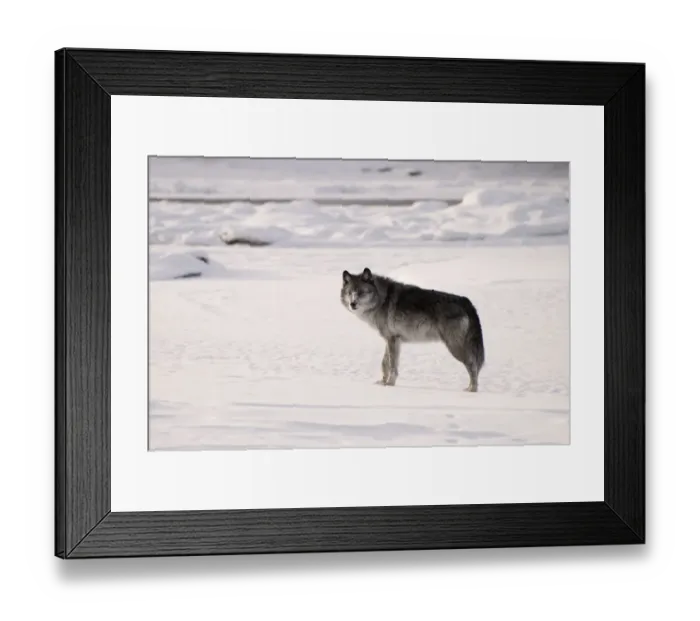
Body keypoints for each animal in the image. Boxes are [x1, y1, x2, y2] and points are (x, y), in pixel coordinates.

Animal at [340, 267, 485, 392]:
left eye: (361, 292)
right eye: (350, 293)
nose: (352, 304)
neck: (382, 299)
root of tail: (466, 301)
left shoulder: (392, 339)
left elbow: (392, 365)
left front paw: (390, 384)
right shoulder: (392, 339)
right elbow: (385, 363)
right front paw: (383, 383)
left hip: (454, 347)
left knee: (473, 365)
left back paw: (472, 390)